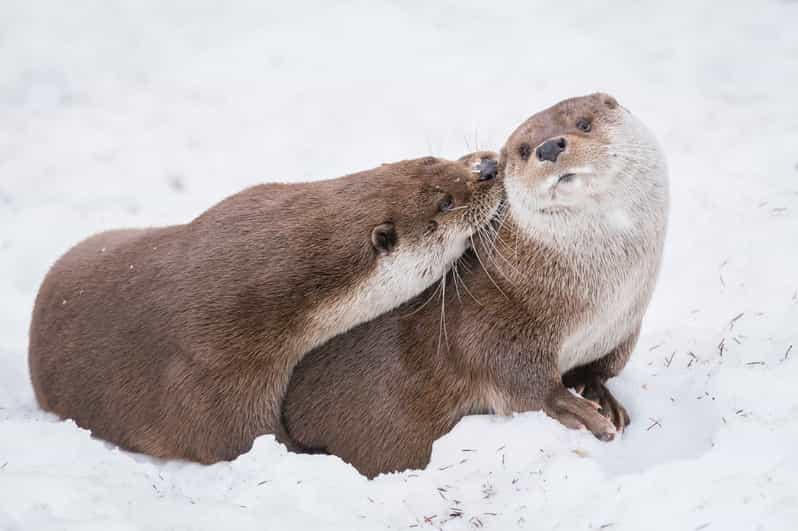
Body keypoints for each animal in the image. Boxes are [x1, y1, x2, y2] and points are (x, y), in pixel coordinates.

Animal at [282, 93, 668, 480]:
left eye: (584, 123)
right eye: (524, 149)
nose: (548, 147)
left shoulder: (621, 328)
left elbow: (599, 370)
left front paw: (601, 395)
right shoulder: (491, 319)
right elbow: (519, 381)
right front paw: (581, 412)